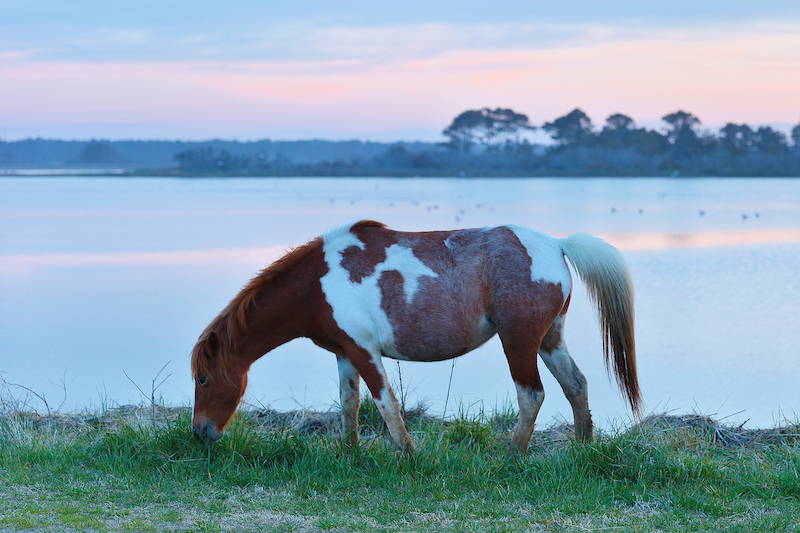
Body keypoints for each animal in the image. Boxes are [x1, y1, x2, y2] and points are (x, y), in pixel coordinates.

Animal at [189, 218, 636, 450]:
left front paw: (407, 454)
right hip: (548, 339)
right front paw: (349, 452)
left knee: (532, 395)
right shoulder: (344, 352)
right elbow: (349, 404)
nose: (201, 431)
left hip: (519, 342)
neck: (318, 284)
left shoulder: (365, 351)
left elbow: (386, 403)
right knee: (575, 385)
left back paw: (510, 455)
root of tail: (557, 244)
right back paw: (582, 449)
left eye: (204, 378)